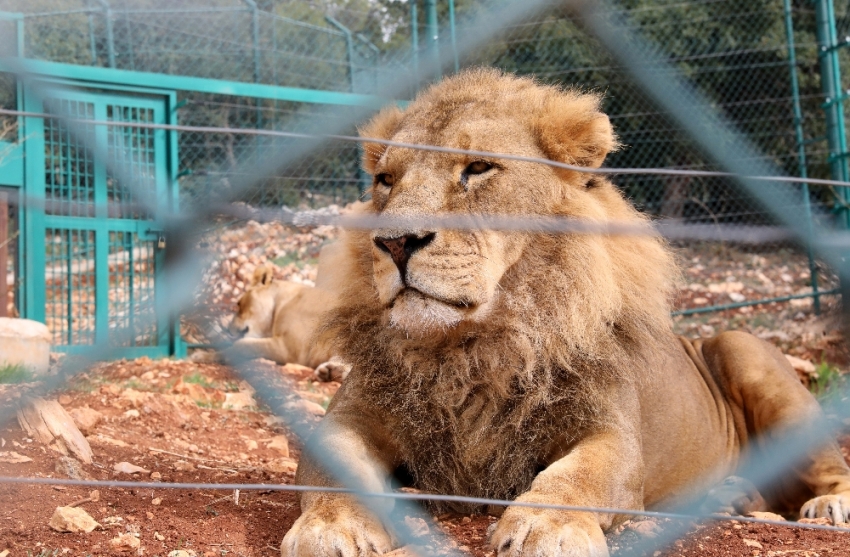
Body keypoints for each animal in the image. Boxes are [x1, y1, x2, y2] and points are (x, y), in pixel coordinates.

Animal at [280, 68, 848, 556]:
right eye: (385, 180)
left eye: (477, 168)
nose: (394, 242)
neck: (473, 348)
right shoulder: (350, 416)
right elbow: (333, 474)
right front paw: (328, 528)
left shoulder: (612, 433)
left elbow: (581, 476)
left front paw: (543, 527)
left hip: (742, 348)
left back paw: (827, 504)